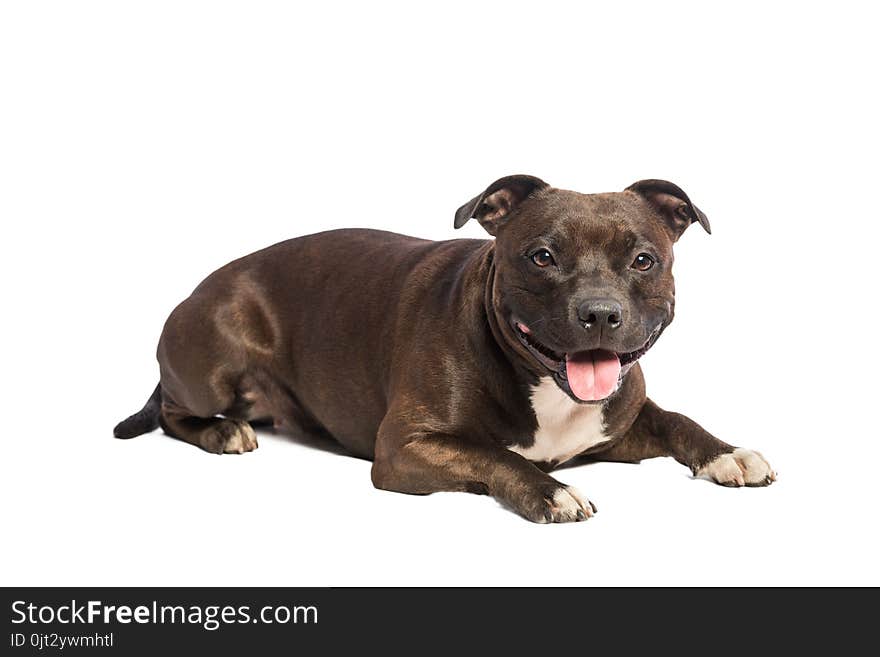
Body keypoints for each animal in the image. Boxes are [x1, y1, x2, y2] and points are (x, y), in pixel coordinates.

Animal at [115, 176, 776, 524]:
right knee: (173, 409)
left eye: (643, 259)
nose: (599, 313)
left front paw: (727, 453)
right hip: (212, 357)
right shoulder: (405, 446)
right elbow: (493, 455)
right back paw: (222, 430)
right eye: (542, 256)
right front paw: (551, 492)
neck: (546, 385)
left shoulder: (620, 423)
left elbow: (678, 421)